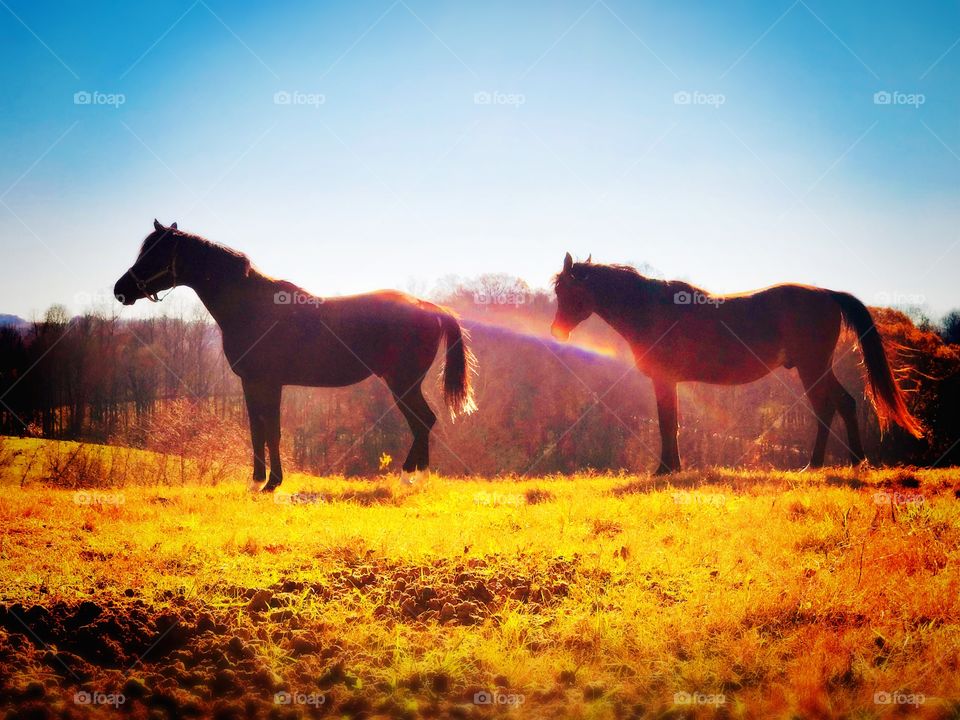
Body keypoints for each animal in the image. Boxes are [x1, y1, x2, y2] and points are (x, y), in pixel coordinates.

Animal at [114, 220, 476, 491]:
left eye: (154, 254)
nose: (120, 290)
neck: (252, 306)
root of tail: (430, 307)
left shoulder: (270, 383)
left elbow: (272, 430)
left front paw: (273, 483)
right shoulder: (250, 384)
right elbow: (257, 429)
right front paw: (256, 482)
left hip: (403, 383)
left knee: (423, 420)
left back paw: (409, 478)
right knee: (423, 422)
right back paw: (416, 478)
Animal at [550, 253, 922, 473]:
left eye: (567, 292)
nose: (557, 331)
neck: (651, 309)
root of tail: (827, 294)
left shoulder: (663, 380)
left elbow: (667, 423)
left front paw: (665, 469)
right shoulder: (669, 382)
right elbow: (674, 423)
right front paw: (675, 468)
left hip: (812, 367)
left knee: (827, 407)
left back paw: (818, 464)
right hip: (818, 368)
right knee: (844, 403)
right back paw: (852, 461)